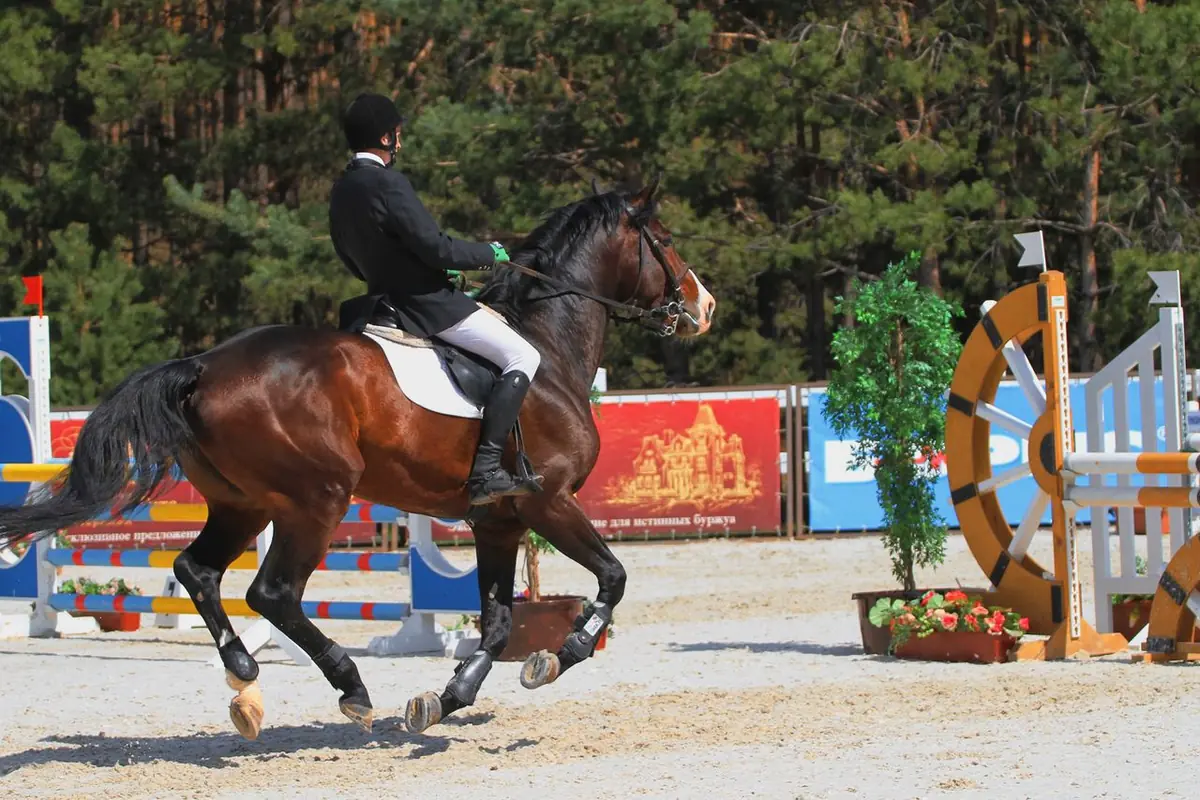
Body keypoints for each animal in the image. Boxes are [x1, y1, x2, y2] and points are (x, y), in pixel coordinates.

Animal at [0, 178, 716, 740]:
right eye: (664, 238)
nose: (704, 306)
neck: (548, 345)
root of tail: (201, 365)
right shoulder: (547, 500)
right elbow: (613, 579)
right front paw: (559, 655)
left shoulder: (498, 520)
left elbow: (497, 622)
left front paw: (445, 699)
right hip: (317, 499)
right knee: (271, 592)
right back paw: (350, 687)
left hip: (242, 503)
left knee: (196, 570)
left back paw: (244, 677)